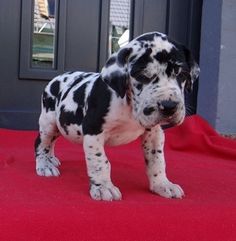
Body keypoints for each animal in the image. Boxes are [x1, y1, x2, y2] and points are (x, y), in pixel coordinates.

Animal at [34, 32, 199, 201]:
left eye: (182, 74)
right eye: (142, 75)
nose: (169, 106)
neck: (129, 107)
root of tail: (56, 79)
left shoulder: (154, 133)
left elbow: (157, 160)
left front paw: (162, 184)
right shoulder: (94, 130)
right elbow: (100, 161)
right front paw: (103, 187)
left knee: (51, 142)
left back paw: (51, 159)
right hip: (48, 124)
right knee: (41, 143)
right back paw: (45, 165)